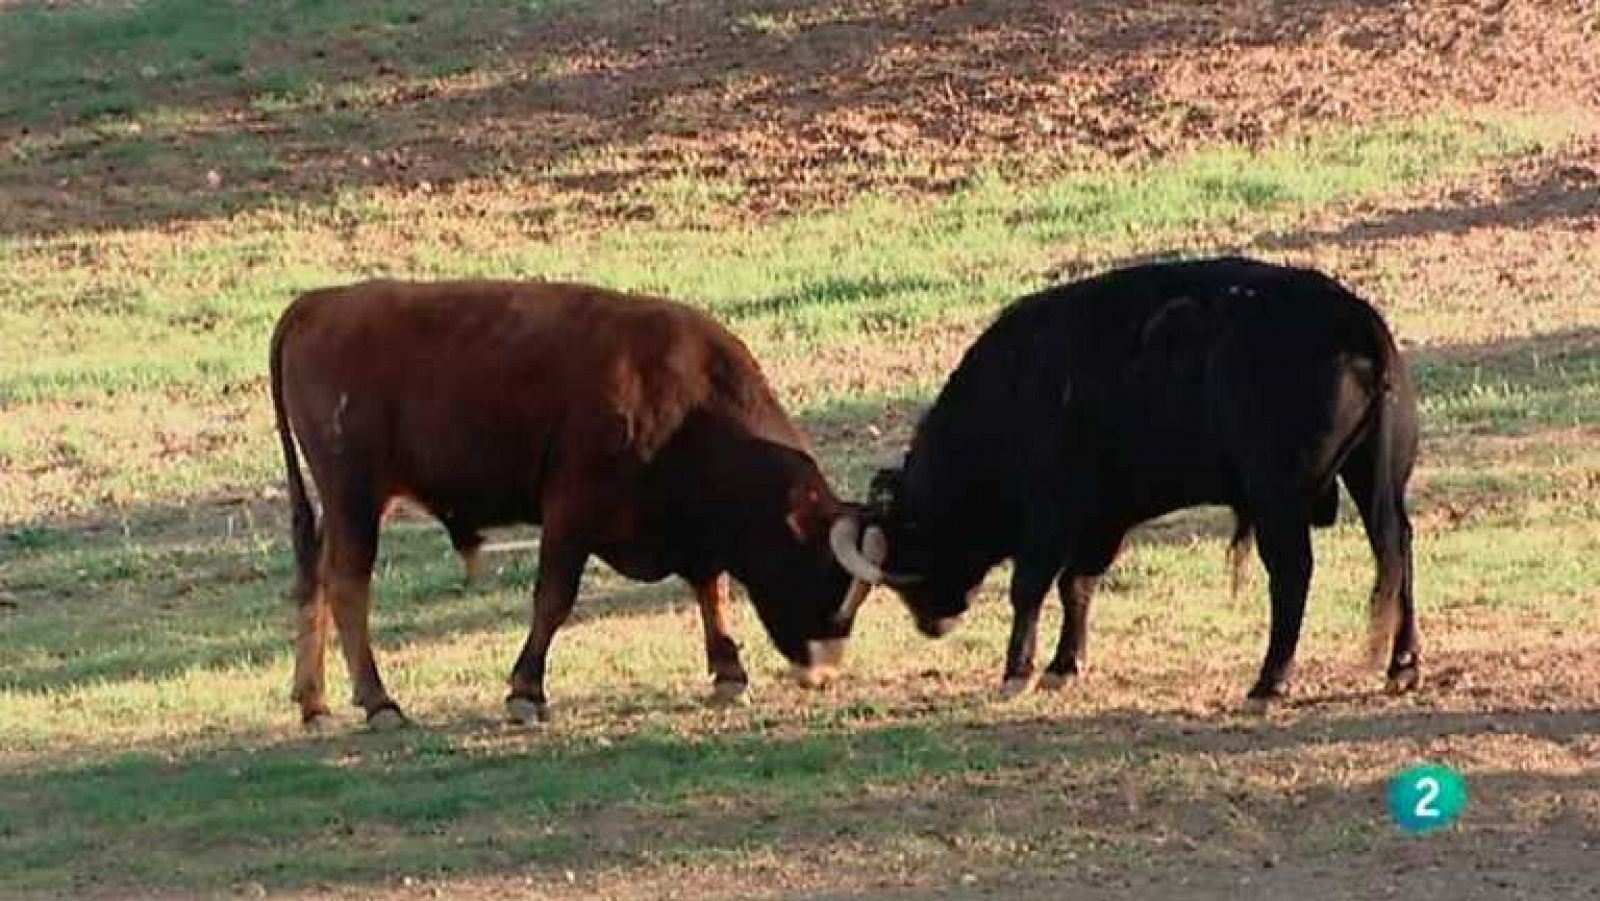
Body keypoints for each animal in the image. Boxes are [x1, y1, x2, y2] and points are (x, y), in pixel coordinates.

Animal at [832, 254, 1420, 704]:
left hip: (1279, 501)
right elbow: (1077, 585)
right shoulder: (1102, 521)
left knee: (1294, 574)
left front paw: (1016, 672)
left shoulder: (1049, 520)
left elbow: (1030, 589)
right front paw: (1063, 666)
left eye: (910, 542)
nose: (933, 622)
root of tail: (1355, 320)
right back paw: (1403, 665)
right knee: (1396, 550)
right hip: (1374, 483)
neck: (1010, 392)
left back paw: (1269, 682)